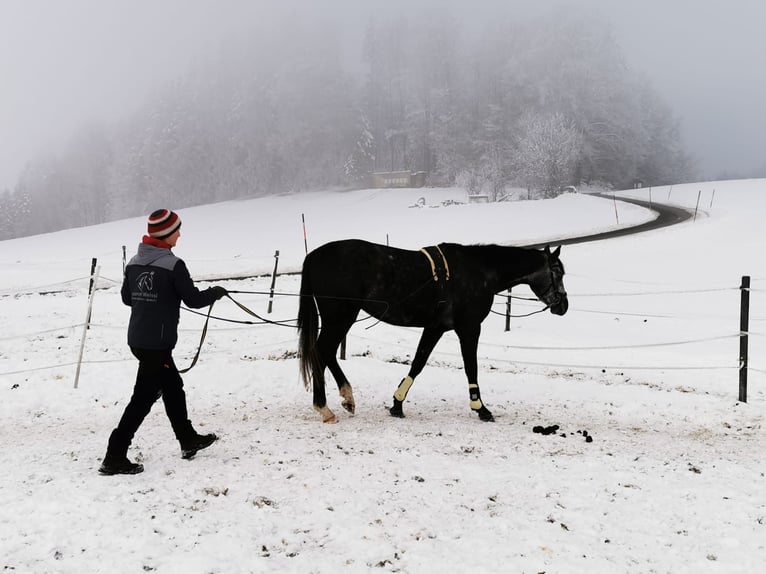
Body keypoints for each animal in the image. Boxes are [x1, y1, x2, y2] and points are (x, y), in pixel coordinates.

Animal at [296, 238, 568, 424]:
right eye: (557, 272)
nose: (563, 305)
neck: (477, 271)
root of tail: (313, 256)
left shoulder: (436, 328)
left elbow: (418, 363)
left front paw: (397, 404)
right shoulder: (469, 328)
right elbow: (471, 367)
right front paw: (480, 408)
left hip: (341, 319)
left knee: (326, 353)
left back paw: (346, 398)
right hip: (340, 318)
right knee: (322, 352)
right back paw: (324, 407)